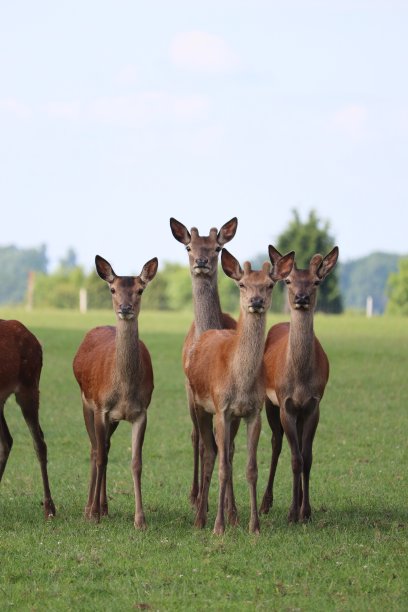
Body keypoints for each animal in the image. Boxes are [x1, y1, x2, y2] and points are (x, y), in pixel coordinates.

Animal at [72, 256, 157, 528]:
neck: (124, 390)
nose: (125, 307)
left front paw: (140, 520)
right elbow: (99, 456)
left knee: (106, 447)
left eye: (140, 290)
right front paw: (93, 514)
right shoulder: (101, 407)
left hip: (114, 418)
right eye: (112, 289)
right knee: (95, 450)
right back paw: (90, 508)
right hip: (85, 401)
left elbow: (136, 463)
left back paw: (104, 507)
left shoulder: (141, 412)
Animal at [186, 246, 294, 532]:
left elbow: (251, 468)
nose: (256, 301)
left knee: (228, 453)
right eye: (242, 284)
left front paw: (254, 526)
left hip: (232, 417)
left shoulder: (252, 412)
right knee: (209, 452)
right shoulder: (221, 408)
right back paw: (200, 517)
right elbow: (222, 466)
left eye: (269, 284)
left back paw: (230, 514)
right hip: (198, 404)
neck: (240, 381)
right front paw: (218, 527)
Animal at [260, 246, 340, 524]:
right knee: (276, 444)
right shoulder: (286, 403)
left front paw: (306, 511)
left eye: (316, 281)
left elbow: (307, 458)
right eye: (288, 281)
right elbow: (295, 458)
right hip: (268, 402)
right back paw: (265, 504)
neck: (301, 383)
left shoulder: (314, 405)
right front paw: (292, 513)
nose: (301, 297)